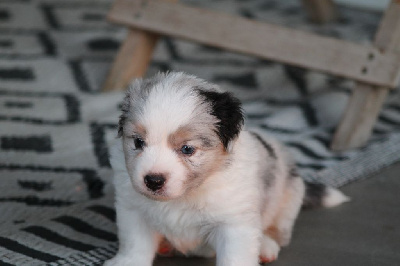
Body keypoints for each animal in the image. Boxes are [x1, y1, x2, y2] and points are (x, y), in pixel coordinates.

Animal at [104, 72, 348, 266]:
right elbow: (135, 244)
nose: (153, 180)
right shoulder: (133, 209)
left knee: (276, 230)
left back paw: (266, 246)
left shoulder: (233, 223)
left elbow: (236, 256)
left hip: (288, 199)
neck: (186, 194)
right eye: (138, 142)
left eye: (187, 149)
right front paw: (126, 263)